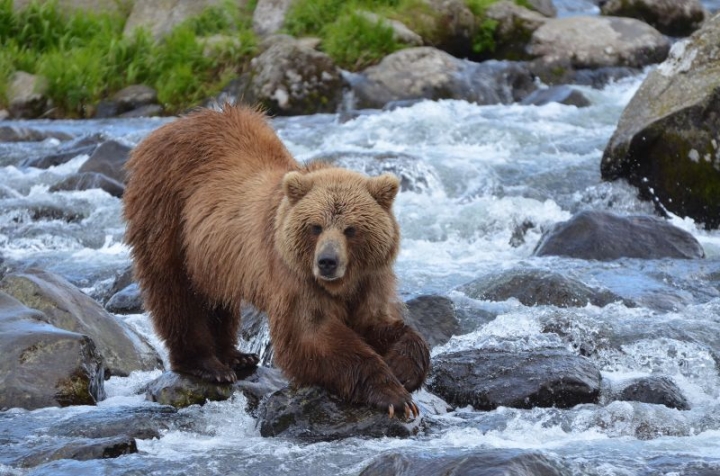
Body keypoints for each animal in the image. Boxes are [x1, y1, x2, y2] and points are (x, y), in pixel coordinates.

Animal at [123, 103, 428, 416]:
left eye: (351, 229)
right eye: (315, 226)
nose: (327, 262)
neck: (341, 282)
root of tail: (170, 126)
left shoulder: (370, 278)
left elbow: (379, 323)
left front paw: (403, 368)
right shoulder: (294, 277)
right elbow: (311, 336)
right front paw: (394, 396)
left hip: (214, 256)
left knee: (217, 299)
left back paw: (237, 356)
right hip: (168, 212)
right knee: (176, 291)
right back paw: (208, 365)